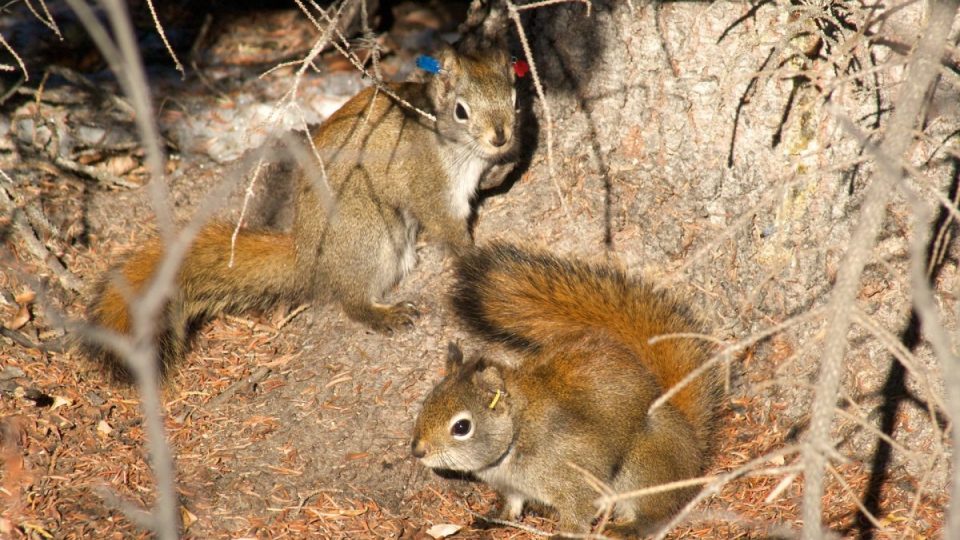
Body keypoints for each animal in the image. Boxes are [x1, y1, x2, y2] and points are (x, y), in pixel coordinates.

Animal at [87, 43, 520, 380]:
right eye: (461, 111)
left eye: (515, 99)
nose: (501, 137)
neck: (455, 145)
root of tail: (307, 255)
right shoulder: (429, 184)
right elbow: (447, 227)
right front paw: (472, 255)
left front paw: (505, 168)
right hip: (368, 235)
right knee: (352, 301)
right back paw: (384, 315)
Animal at [410, 244, 720, 536]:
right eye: (426, 403)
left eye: (461, 427)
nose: (418, 451)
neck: (518, 431)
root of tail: (692, 447)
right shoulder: (512, 488)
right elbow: (510, 507)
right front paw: (492, 519)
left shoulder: (575, 471)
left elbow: (578, 508)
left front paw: (564, 533)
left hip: (642, 468)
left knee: (655, 513)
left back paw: (627, 528)